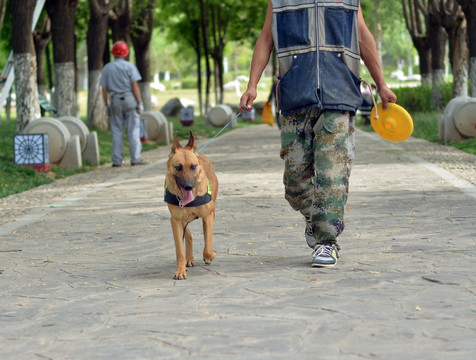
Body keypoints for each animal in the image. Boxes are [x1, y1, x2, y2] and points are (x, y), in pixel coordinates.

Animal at [165, 131, 218, 280]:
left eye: (193, 166)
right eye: (178, 167)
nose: (188, 187)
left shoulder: (208, 217)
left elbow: (207, 247)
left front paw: (211, 254)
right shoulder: (175, 221)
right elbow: (179, 251)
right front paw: (180, 270)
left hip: (211, 214)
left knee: (205, 238)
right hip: (182, 221)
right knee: (188, 236)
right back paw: (189, 258)